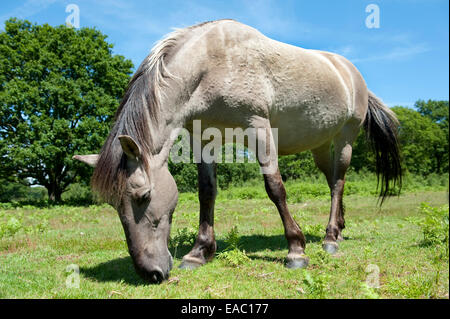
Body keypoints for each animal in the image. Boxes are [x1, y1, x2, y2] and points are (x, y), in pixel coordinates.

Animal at [73, 19, 400, 284]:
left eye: (143, 196)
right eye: (114, 204)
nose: (150, 272)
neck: (211, 63)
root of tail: (350, 72)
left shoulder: (258, 127)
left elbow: (274, 188)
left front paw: (296, 250)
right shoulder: (203, 138)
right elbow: (207, 191)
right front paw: (198, 252)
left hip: (346, 137)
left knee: (339, 181)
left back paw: (330, 238)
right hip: (320, 144)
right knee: (333, 181)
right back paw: (339, 230)